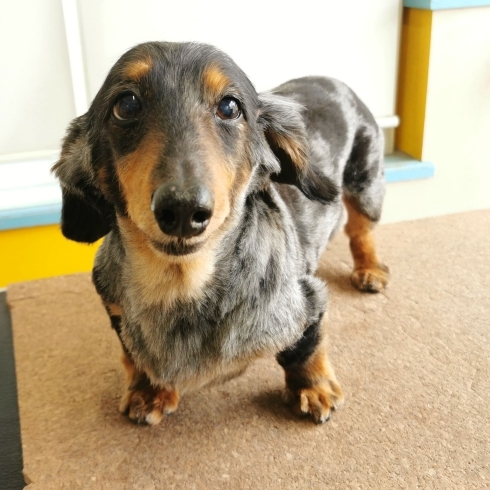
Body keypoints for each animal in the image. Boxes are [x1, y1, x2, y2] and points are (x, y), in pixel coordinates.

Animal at [52, 41, 390, 424]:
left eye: (230, 107)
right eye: (127, 104)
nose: (183, 211)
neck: (180, 284)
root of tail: (330, 79)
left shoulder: (308, 301)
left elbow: (304, 348)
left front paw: (312, 388)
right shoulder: (114, 307)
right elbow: (132, 353)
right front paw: (147, 390)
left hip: (365, 188)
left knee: (360, 231)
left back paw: (369, 269)